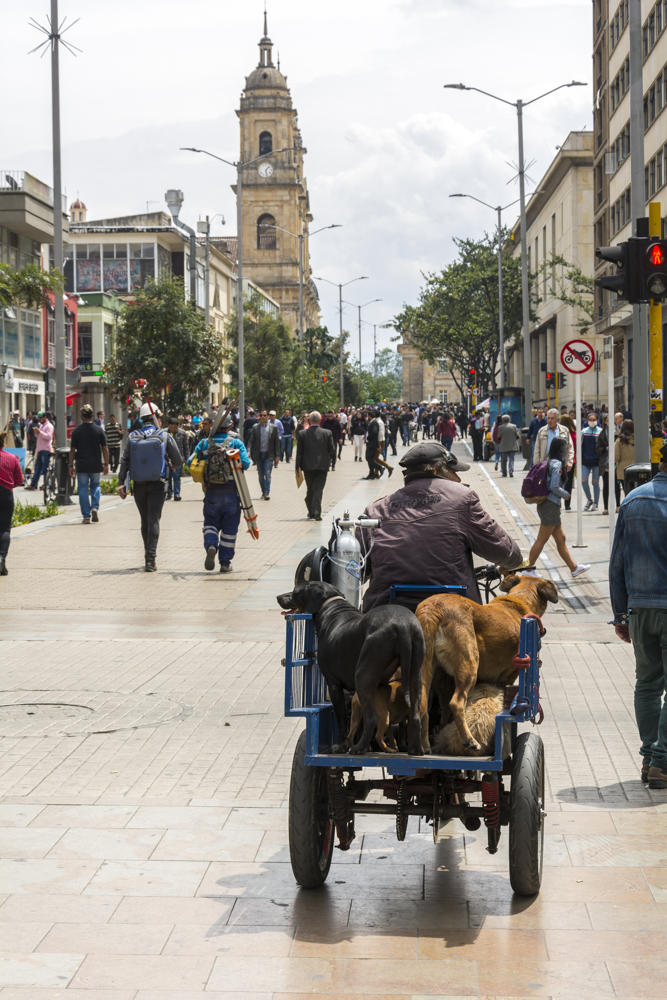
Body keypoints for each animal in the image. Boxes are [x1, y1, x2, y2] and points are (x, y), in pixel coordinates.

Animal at [278, 580, 426, 756]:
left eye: (295, 591)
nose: (278, 596)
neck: (331, 606)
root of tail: (402, 624)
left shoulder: (333, 683)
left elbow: (342, 718)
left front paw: (340, 746)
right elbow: (358, 719)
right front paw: (367, 747)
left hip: (363, 674)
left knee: (372, 717)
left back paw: (358, 748)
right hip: (415, 672)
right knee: (414, 715)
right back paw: (414, 749)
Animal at [418, 576, 560, 752]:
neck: (519, 599)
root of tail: (434, 606)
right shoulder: (509, 676)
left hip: (429, 671)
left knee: (424, 705)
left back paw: (425, 745)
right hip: (470, 666)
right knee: (456, 703)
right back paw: (469, 740)